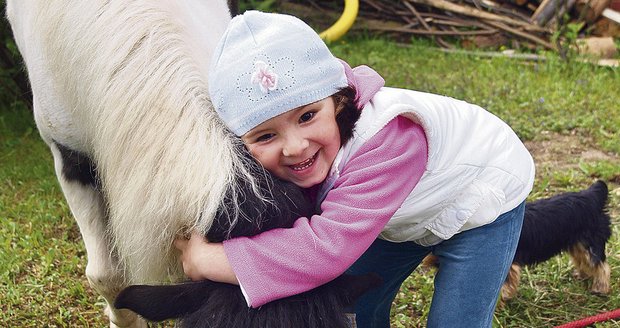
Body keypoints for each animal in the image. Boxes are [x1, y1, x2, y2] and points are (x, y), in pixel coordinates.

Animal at [424, 181, 612, 304]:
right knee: (584, 260)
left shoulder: (507, 264)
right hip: (577, 243)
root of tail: (593, 197)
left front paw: (502, 300)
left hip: (590, 241)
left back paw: (600, 288)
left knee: (600, 265)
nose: (431, 264)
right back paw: (582, 274)